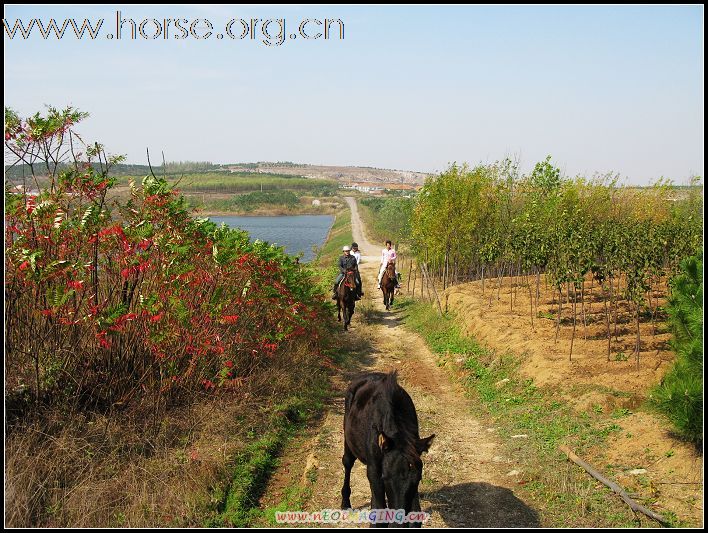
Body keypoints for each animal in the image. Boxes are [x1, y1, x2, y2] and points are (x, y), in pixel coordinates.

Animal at [340, 372, 434, 524]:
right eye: (385, 477)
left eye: (419, 479)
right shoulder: (374, 472)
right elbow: (379, 513)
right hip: (348, 441)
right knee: (347, 463)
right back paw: (345, 502)